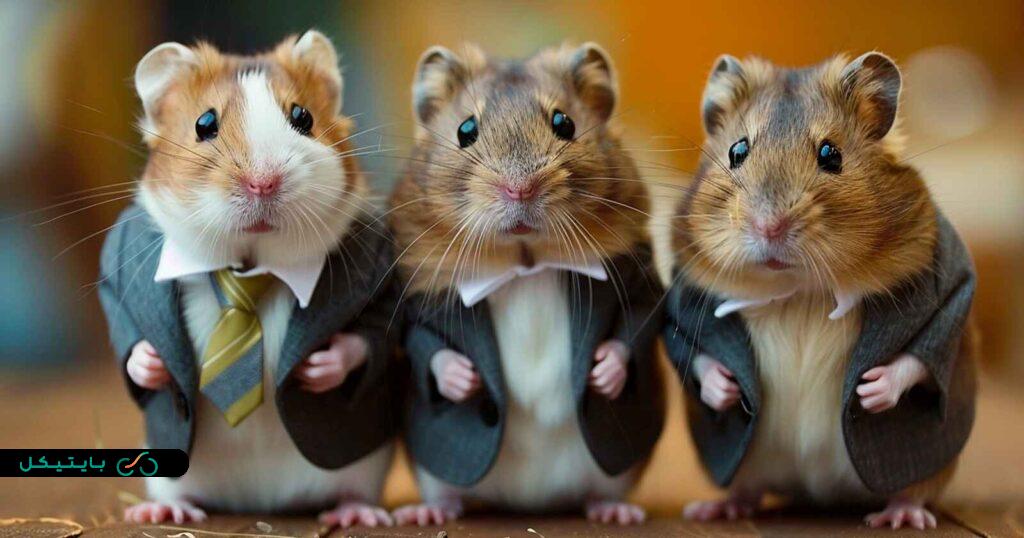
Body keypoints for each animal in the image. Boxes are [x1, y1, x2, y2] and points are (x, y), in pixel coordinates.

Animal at [98, 31, 400, 527]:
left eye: (303, 117)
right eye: (204, 123)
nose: (264, 183)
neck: (248, 266)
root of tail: (260, 503)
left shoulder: (383, 280)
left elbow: (370, 335)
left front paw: (317, 368)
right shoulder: (115, 279)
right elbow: (130, 338)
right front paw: (153, 364)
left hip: (365, 467)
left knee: (354, 491)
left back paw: (356, 516)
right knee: (177, 492)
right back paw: (162, 512)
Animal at [388, 43, 665, 525]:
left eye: (564, 124)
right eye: (466, 130)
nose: (519, 190)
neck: (525, 259)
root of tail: (527, 504)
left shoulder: (640, 273)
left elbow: (637, 322)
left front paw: (603, 374)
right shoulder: (416, 297)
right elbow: (426, 341)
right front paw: (464, 379)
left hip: (616, 472)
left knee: (603, 491)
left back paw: (617, 513)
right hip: (431, 470)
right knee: (446, 492)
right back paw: (426, 515)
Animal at [663, 52, 977, 529]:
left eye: (831, 155)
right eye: (738, 151)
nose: (769, 227)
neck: (798, 290)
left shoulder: (950, 287)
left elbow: (925, 350)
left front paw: (870, 390)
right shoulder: (683, 300)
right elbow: (696, 351)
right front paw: (727, 389)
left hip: (930, 466)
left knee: (913, 490)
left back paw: (900, 517)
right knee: (746, 489)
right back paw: (713, 509)